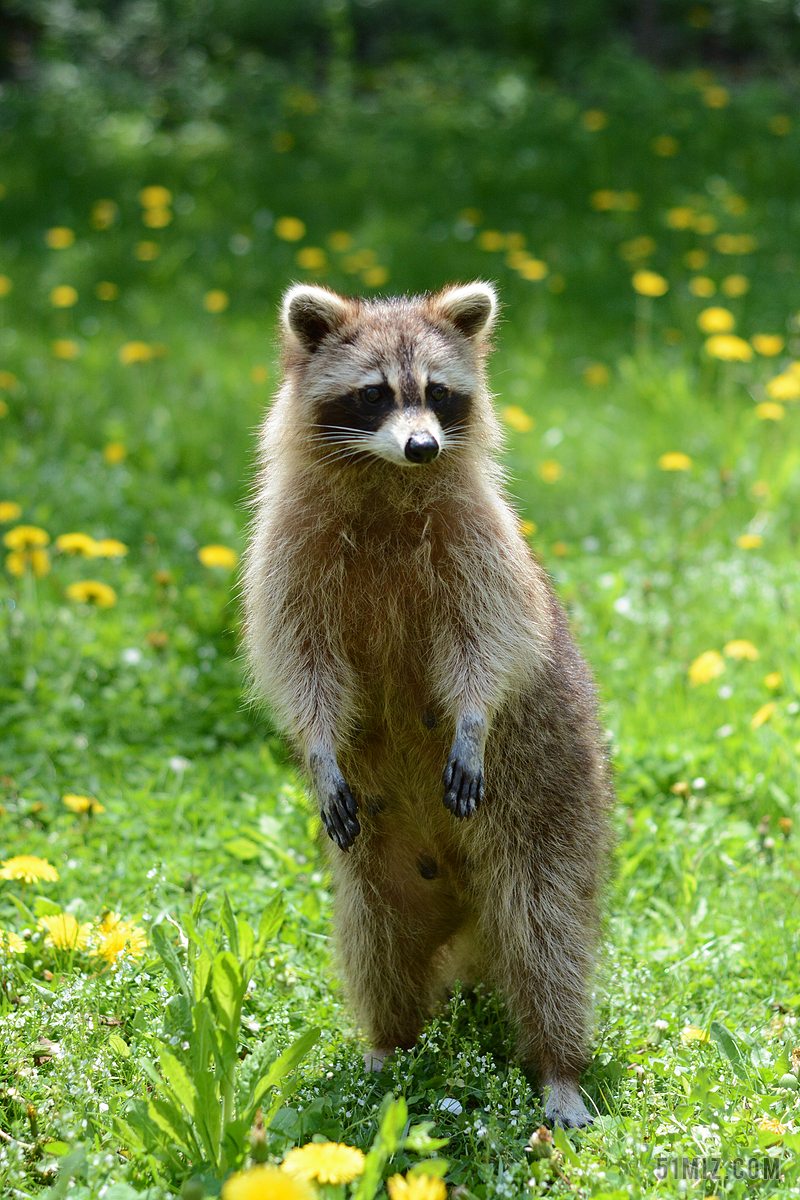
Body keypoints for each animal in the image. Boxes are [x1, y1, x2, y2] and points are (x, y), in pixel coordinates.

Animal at [244, 285, 614, 1128]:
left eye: (438, 393)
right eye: (375, 394)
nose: (422, 447)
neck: (385, 479)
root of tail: (465, 910)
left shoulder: (479, 541)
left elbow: (493, 640)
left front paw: (472, 720)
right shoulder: (288, 549)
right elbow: (297, 660)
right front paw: (316, 744)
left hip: (554, 810)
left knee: (546, 937)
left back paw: (559, 1064)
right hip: (376, 870)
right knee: (377, 945)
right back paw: (390, 1043)